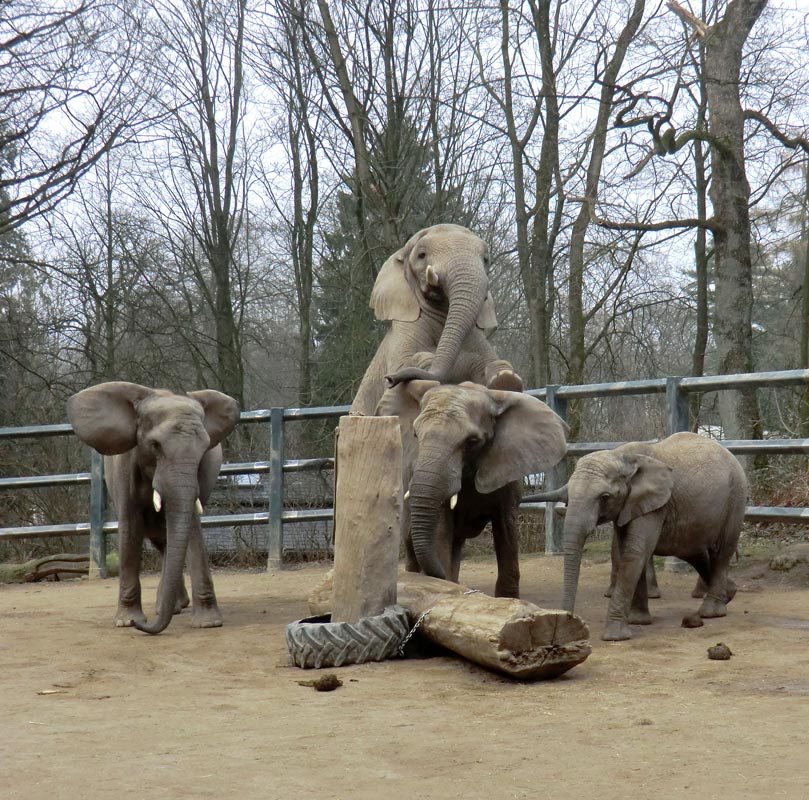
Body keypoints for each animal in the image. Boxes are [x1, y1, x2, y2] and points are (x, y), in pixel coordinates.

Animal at [67, 384, 238, 636]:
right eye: (155, 445)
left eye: (204, 448)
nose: (143, 626)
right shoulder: (126, 466)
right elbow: (131, 528)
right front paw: (127, 621)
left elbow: (192, 526)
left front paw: (208, 623)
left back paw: (171, 606)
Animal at [352, 223, 524, 416]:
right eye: (421, 255)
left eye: (486, 259)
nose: (389, 379)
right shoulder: (402, 336)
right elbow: (404, 363)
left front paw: (504, 378)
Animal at [376, 380, 564, 592]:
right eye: (416, 435)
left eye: (472, 441)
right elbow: (441, 533)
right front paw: (444, 582)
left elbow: (506, 530)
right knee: (411, 541)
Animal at [532, 434, 748, 640]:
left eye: (604, 497)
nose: (568, 619)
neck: (621, 456)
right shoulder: (629, 506)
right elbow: (625, 552)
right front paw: (638, 621)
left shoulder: (653, 505)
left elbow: (634, 553)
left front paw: (615, 636)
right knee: (694, 551)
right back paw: (729, 593)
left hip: (735, 498)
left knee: (721, 551)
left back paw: (711, 612)